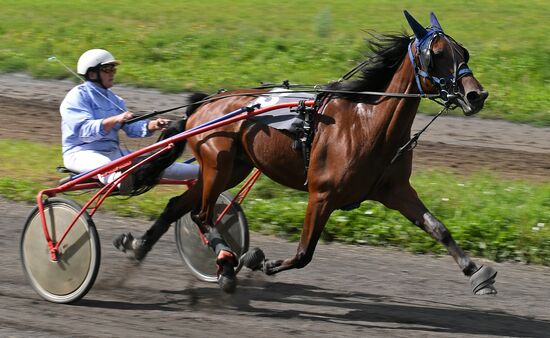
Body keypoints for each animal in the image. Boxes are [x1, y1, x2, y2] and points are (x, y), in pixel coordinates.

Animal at [115, 9, 496, 296]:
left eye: (463, 52)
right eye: (437, 54)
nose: (476, 95)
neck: (366, 125)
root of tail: (205, 102)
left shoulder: (395, 190)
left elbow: (438, 228)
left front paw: (477, 272)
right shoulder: (322, 194)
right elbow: (304, 253)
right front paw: (260, 261)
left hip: (231, 168)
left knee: (177, 206)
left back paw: (140, 248)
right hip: (218, 162)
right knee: (202, 215)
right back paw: (225, 261)